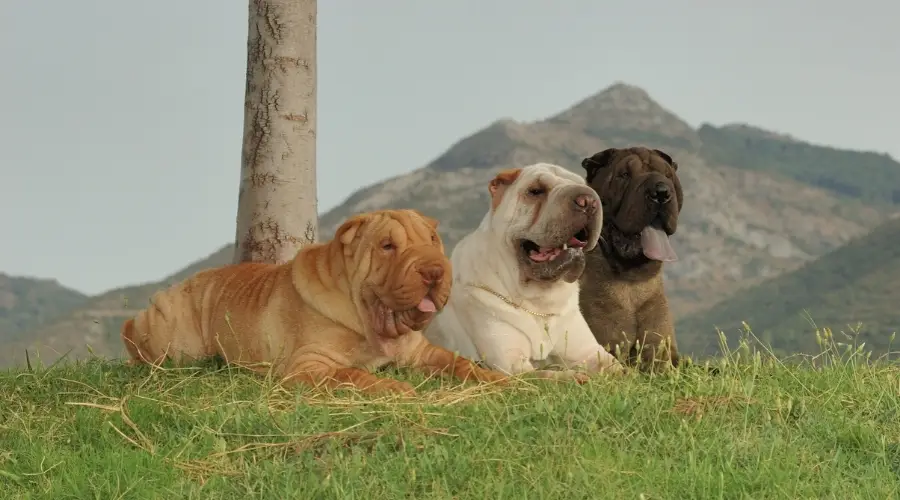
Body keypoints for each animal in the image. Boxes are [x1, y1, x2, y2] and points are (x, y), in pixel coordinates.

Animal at [119, 208, 506, 394]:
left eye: (432, 240)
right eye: (387, 246)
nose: (435, 271)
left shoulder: (421, 352)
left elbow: (460, 363)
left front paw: (499, 379)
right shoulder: (310, 365)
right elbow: (352, 374)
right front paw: (393, 386)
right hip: (176, 343)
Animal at [424, 163, 624, 378]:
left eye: (585, 186)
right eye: (535, 191)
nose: (587, 200)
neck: (538, 303)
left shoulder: (589, 352)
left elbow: (619, 368)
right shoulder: (511, 363)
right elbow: (548, 375)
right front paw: (574, 377)